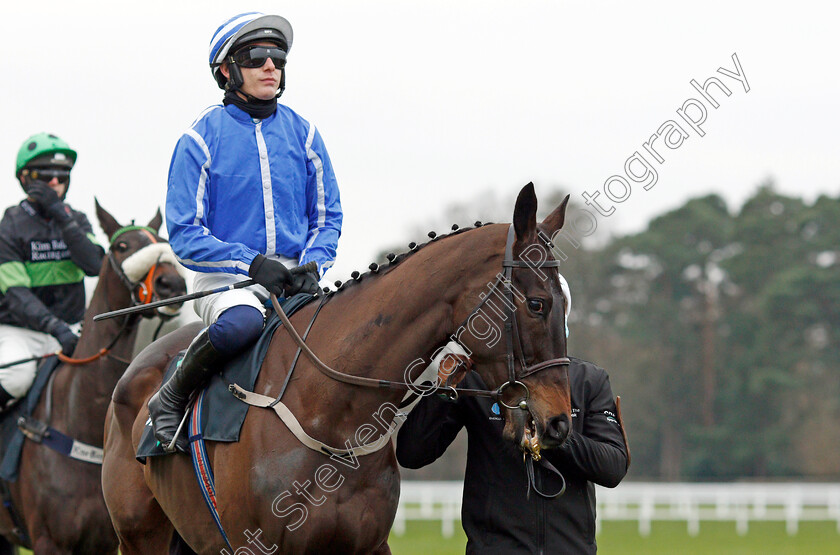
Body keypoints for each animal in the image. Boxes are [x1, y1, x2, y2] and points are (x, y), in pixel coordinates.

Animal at [98, 185, 572, 552]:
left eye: (565, 303)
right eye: (537, 304)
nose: (560, 422)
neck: (333, 415)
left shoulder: (368, 544)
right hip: (139, 536)